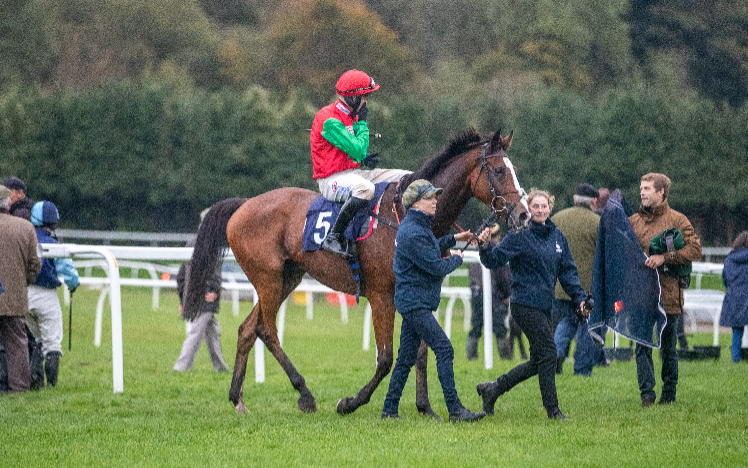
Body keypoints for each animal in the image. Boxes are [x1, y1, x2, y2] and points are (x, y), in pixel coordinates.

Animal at [184, 127, 528, 414]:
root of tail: (244, 205)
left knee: (247, 329)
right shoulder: (381, 295)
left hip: (287, 278)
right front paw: (352, 402)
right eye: (499, 171)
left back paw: (238, 398)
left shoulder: (416, 292)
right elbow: (386, 358)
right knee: (267, 330)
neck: (408, 216)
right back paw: (304, 394)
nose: (524, 214)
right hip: (268, 278)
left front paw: (425, 406)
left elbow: (419, 351)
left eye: (514, 170)